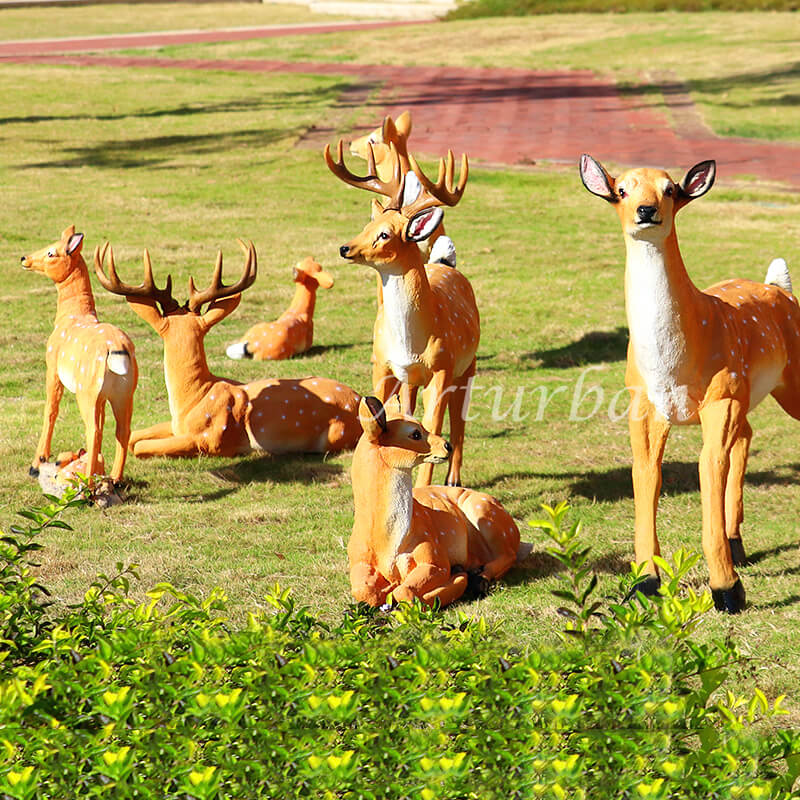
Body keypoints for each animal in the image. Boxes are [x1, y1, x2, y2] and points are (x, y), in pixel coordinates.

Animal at [20, 228, 139, 484]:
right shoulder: (102, 397)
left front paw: (36, 465)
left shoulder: (52, 367)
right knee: (122, 429)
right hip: (124, 392)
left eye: (51, 252)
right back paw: (113, 478)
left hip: (86, 390)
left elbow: (50, 411)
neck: (71, 317)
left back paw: (88, 483)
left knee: (93, 430)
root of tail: (117, 350)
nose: (24, 258)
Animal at [91, 241, 362, 460]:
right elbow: (134, 436)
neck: (192, 398)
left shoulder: (211, 439)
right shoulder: (177, 426)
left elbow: (139, 446)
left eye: (216, 438)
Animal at [324, 139, 478, 488]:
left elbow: (435, 426)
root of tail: (444, 263)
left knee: (459, 422)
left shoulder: (442, 369)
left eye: (385, 234)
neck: (411, 342)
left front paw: (425, 487)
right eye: (366, 225)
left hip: (467, 365)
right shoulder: (381, 364)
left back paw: (453, 480)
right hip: (410, 379)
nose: (344, 248)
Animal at [350, 396, 520, 608]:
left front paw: (457, 578)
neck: (388, 542)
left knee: (509, 554)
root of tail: (516, 530)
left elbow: (405, 592)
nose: (448, 445)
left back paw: (478, 579)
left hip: (485, 514)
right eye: (415, 433)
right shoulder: (357, 560)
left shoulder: (434, 554)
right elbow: (365, 591)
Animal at [580, 153, 800, 612]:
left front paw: (728, 591)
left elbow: (708, 467)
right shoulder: (644, 406)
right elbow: (646, 475)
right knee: (747, 436)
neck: (672, 368)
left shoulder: (721, 399)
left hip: (782, 383)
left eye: (670, 189)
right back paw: (737, 544)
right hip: (744, 394)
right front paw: (645, 582)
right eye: (621, 190)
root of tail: (779, 287)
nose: (647, 210)